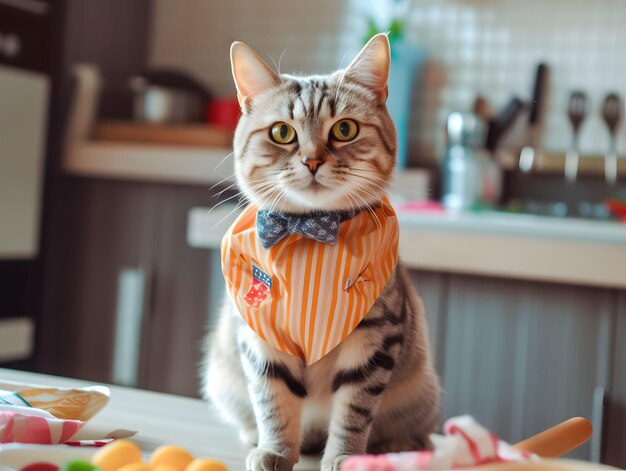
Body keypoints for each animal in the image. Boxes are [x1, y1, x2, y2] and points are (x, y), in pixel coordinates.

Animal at [201, 34, 438, 471]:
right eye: (282, 132)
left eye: (344, 129)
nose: (312, 160)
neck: (309, 236)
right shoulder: (260, 336)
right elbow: (272, 401)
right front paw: (275, 450)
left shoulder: (376, 336)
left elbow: (354, 409)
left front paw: (346, 457)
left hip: (420, 393)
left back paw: (391, 447)